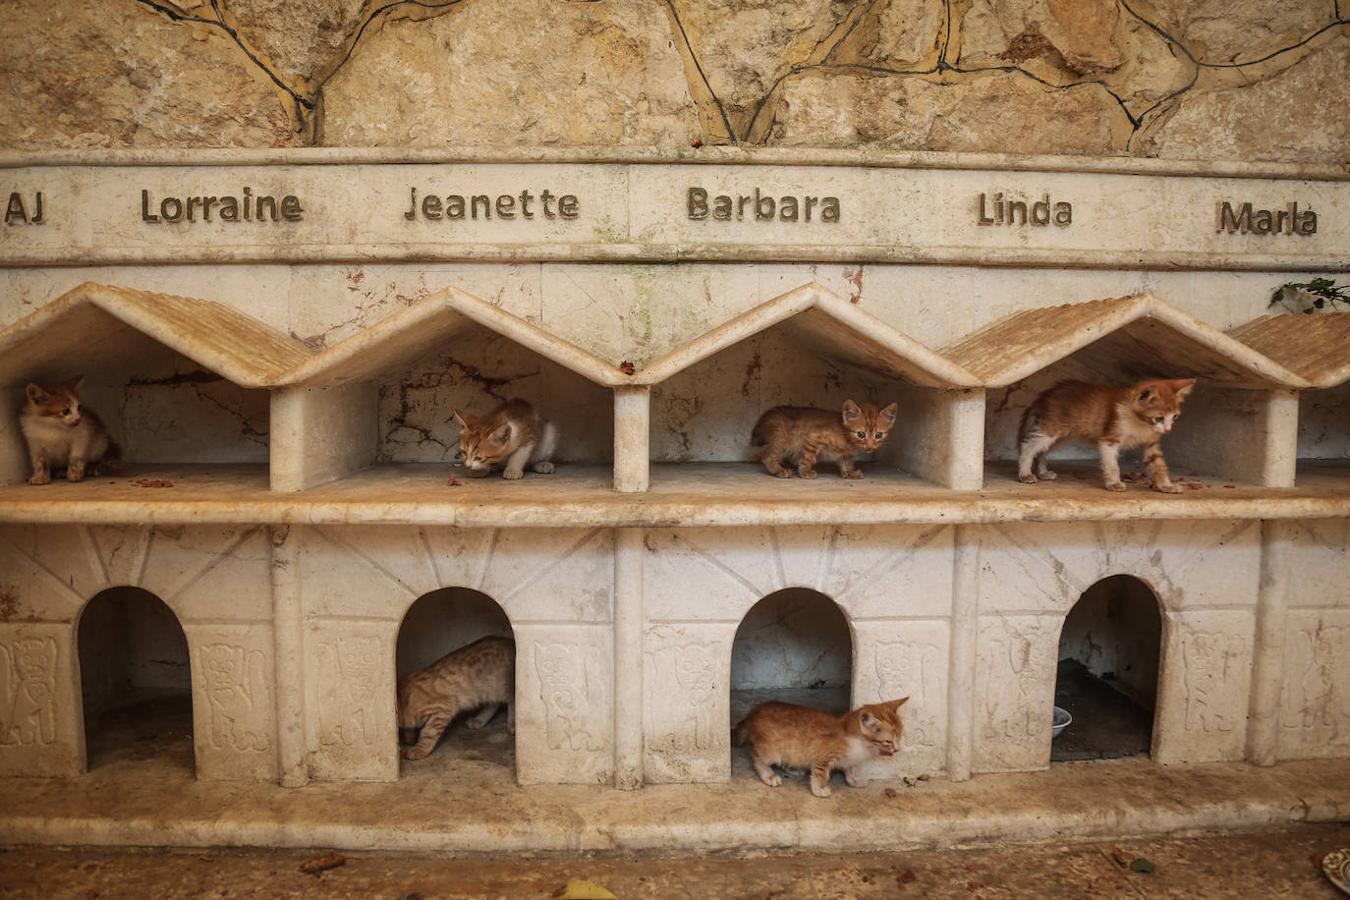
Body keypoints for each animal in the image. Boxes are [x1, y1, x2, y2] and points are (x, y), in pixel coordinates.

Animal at [734, 696, 912, 798]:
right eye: (888, 741)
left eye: (900, 736)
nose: (897, 749)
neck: (859, 744)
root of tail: (753, 713)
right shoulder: (823, 756)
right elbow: (821, 774)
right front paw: (819, 789)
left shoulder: (851, 760)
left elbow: (850, 770)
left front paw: (854, 781)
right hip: (772, 749)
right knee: (756, 756)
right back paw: (769, 775)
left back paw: (794, 769)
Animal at [750, 402, 896, 483]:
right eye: (861, 434)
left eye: (878, 435)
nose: (870, 447)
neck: (846, 436)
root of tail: (769, 413)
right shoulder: (814, 436)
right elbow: (807, 457)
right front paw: (805, 471)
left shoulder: (845, 453)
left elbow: (847, 462)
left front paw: (850, 473)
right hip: (783, 436)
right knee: (768, 456)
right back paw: (779, 470)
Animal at [1015, 377, 1198, 496]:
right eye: (1159, 418)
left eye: (1175, 417)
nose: (1167, 430)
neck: (1139, 423)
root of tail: (1046, 394)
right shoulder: (1109, 439)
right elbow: (1112, 465)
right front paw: (1114, 483)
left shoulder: (1150, 443)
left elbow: (1159, 465)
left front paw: (1166, 486)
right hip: (1051, 429)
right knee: (1028, 446)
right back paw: (1025, 473)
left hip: (1062, 436)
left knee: (1042, 451)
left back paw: (1043, 472)